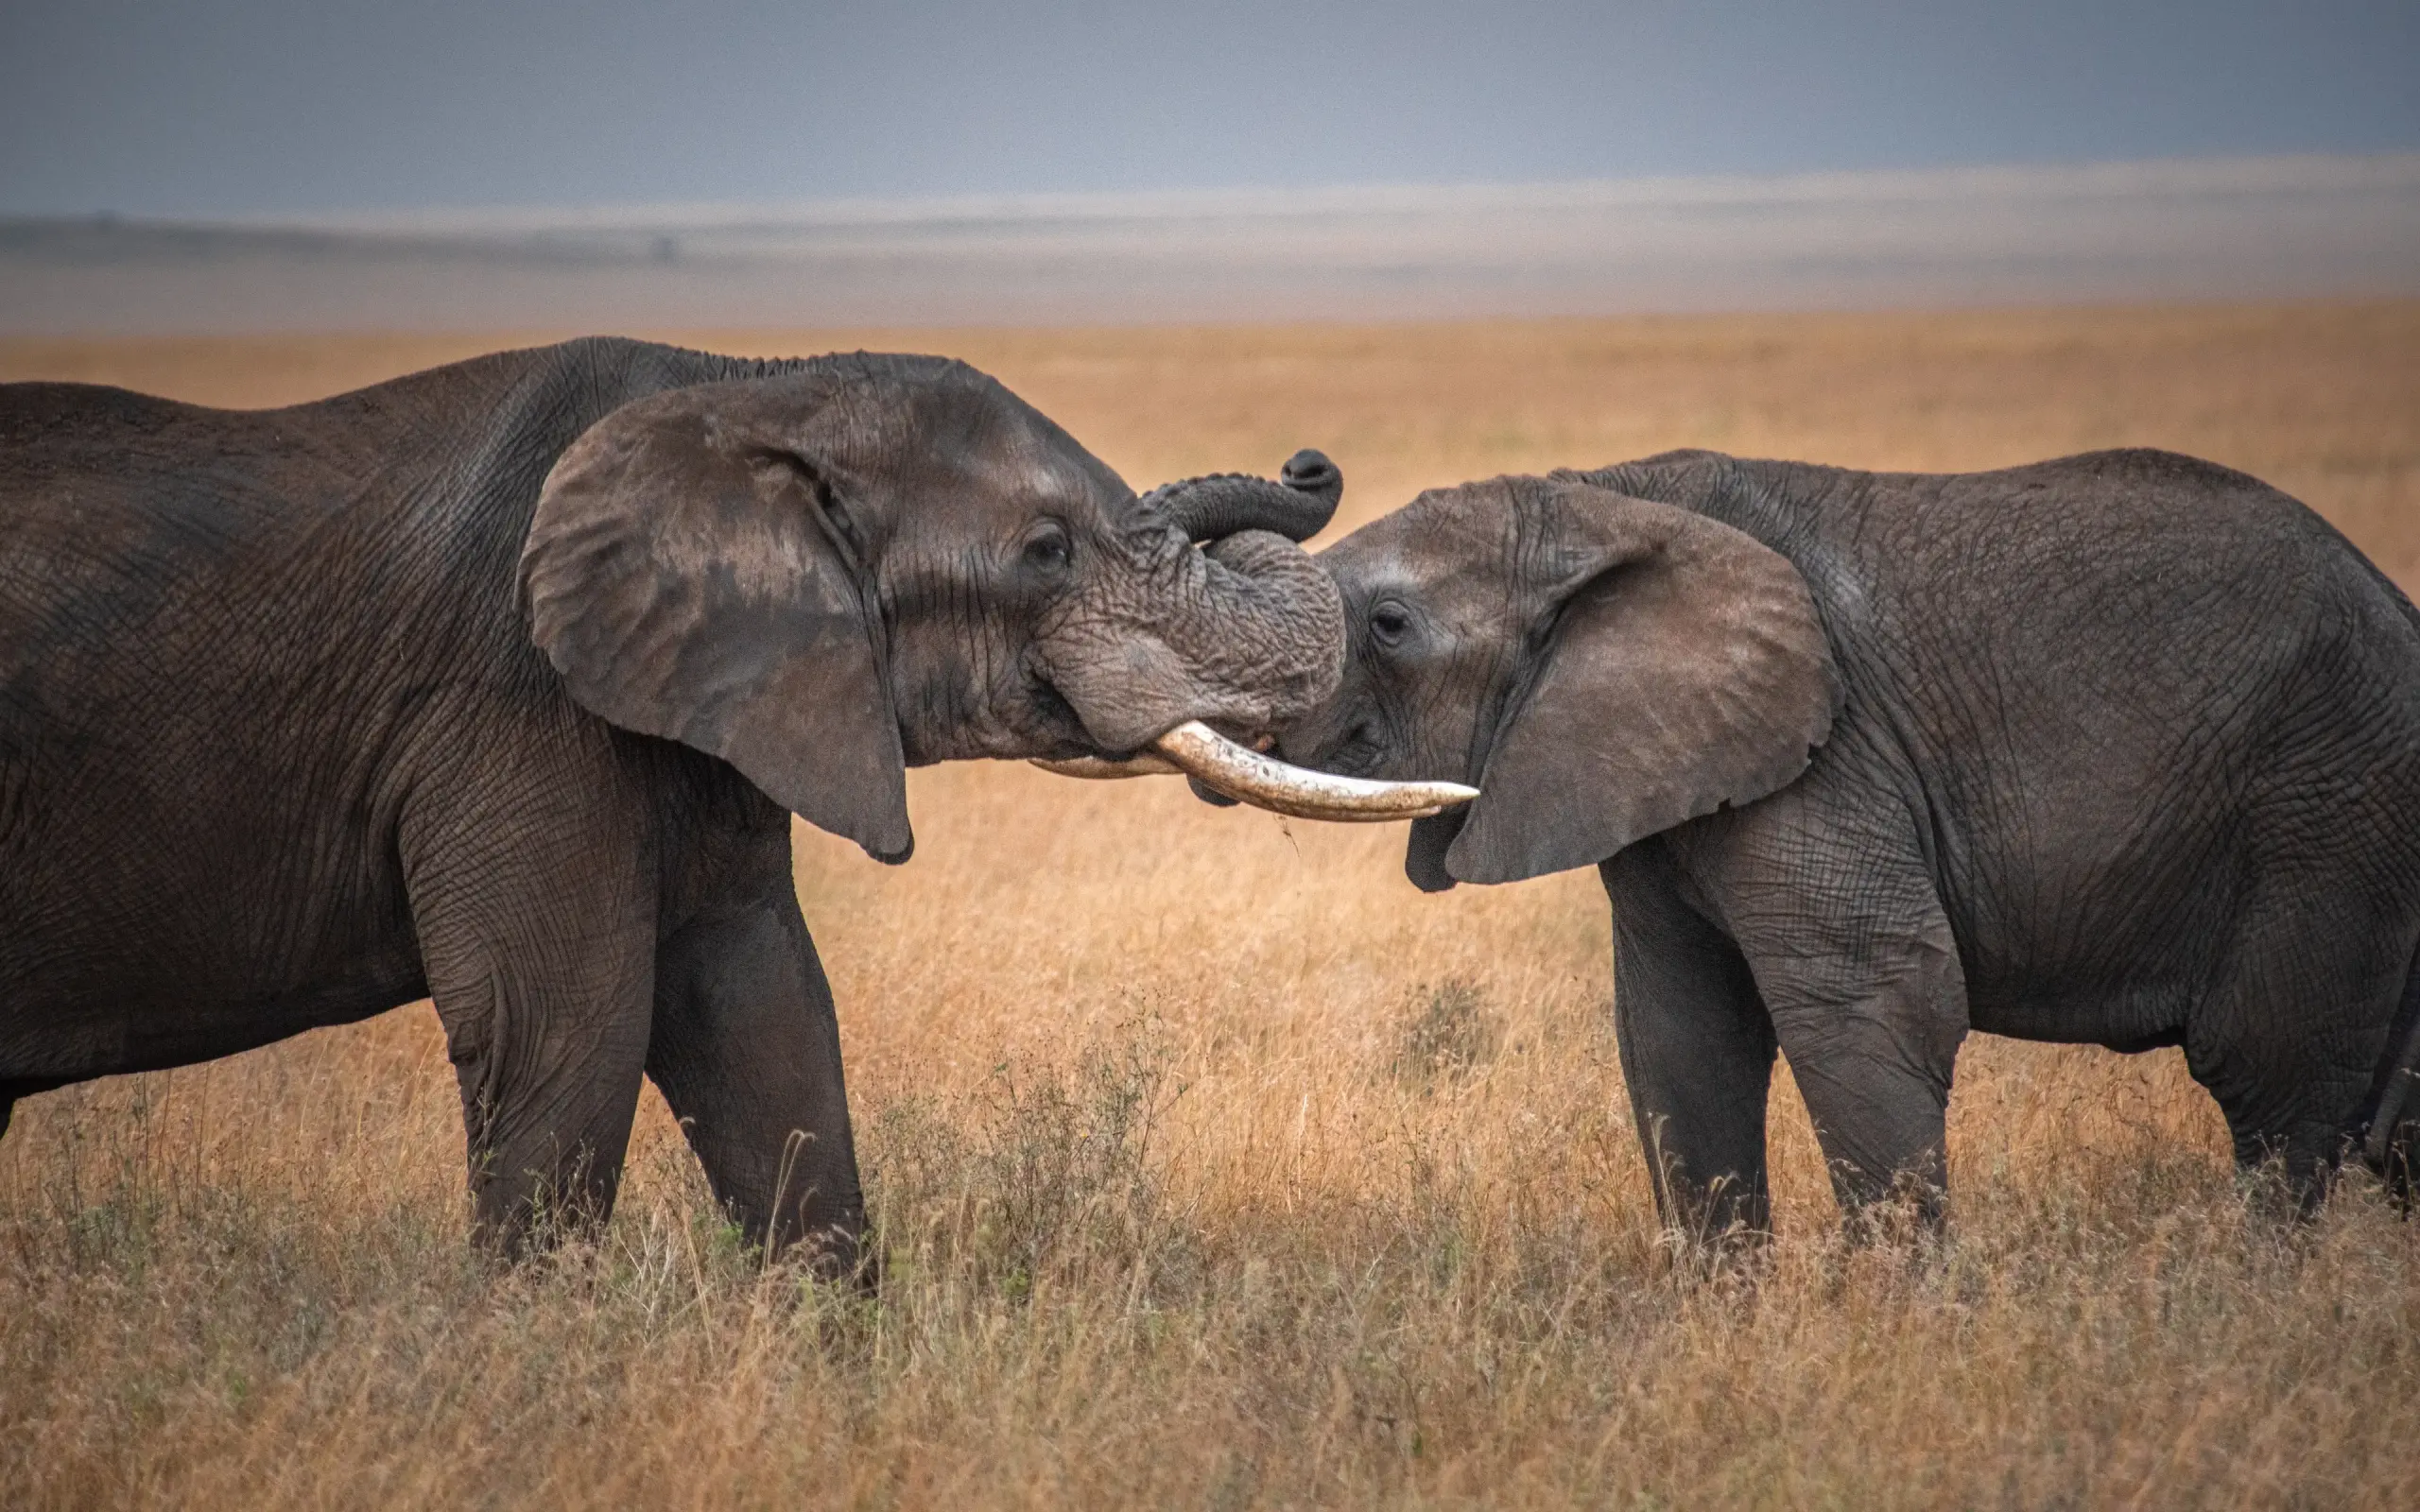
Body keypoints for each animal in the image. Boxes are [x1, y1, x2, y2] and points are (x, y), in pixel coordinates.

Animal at [0, 336, 1434, 1263]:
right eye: (1043, 551)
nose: (1310, 465)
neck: (748, 392)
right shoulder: (516, 697)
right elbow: (561, 1024)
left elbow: (761, 1011)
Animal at [1234, 447, 2420, 1239]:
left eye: (1389, 626)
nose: (1305, 462)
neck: (1606, 498)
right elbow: (1677, 1035)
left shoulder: (1831, 758)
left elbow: (1876, 1001)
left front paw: (1909, 1336)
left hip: (2324, 803)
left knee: (2273, 1082)